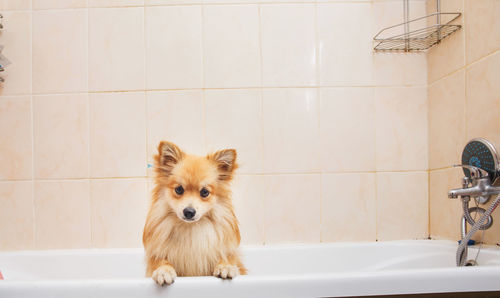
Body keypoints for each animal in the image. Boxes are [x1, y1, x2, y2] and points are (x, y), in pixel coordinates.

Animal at [142, 141, 245, 286]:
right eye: (179, 189)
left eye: (204, 192)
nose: (189, 211)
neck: (190, 229)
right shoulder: (157, 255)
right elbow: (160, 262)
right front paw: (163, 270)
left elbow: (227, 259)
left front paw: (226, 266)